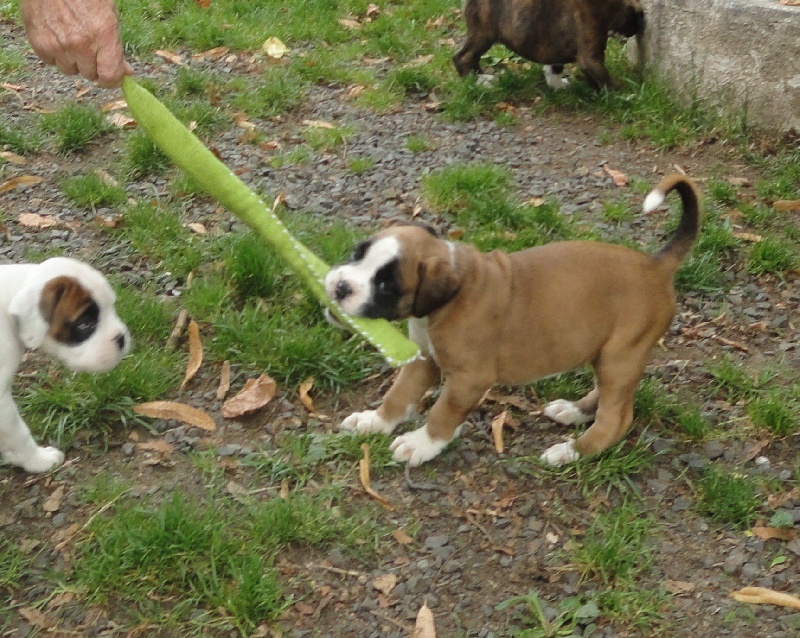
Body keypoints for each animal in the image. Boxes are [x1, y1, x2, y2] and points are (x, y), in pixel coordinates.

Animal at [324, 175, 700, 470]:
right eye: (358, 253)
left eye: (387, 286)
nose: (340, 286)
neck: (449, 297)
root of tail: (655, 265)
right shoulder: (423, 360)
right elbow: (398, 395)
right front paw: (375, 422)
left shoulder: (470, 380)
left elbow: (443, 412)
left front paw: (421, 444)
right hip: (607, 355)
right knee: (609, 397)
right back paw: (574, 411)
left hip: (620, 356)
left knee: (616, 418)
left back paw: (570, 452)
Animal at [454, 0, 648, 91]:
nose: (640, 27)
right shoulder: (590, 57)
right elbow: (604, 78)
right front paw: (623, 93)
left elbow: (555, 66)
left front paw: (556, 85)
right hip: (484, 33)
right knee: (463, 57)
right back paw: (478, 81)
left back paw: (482, 76)